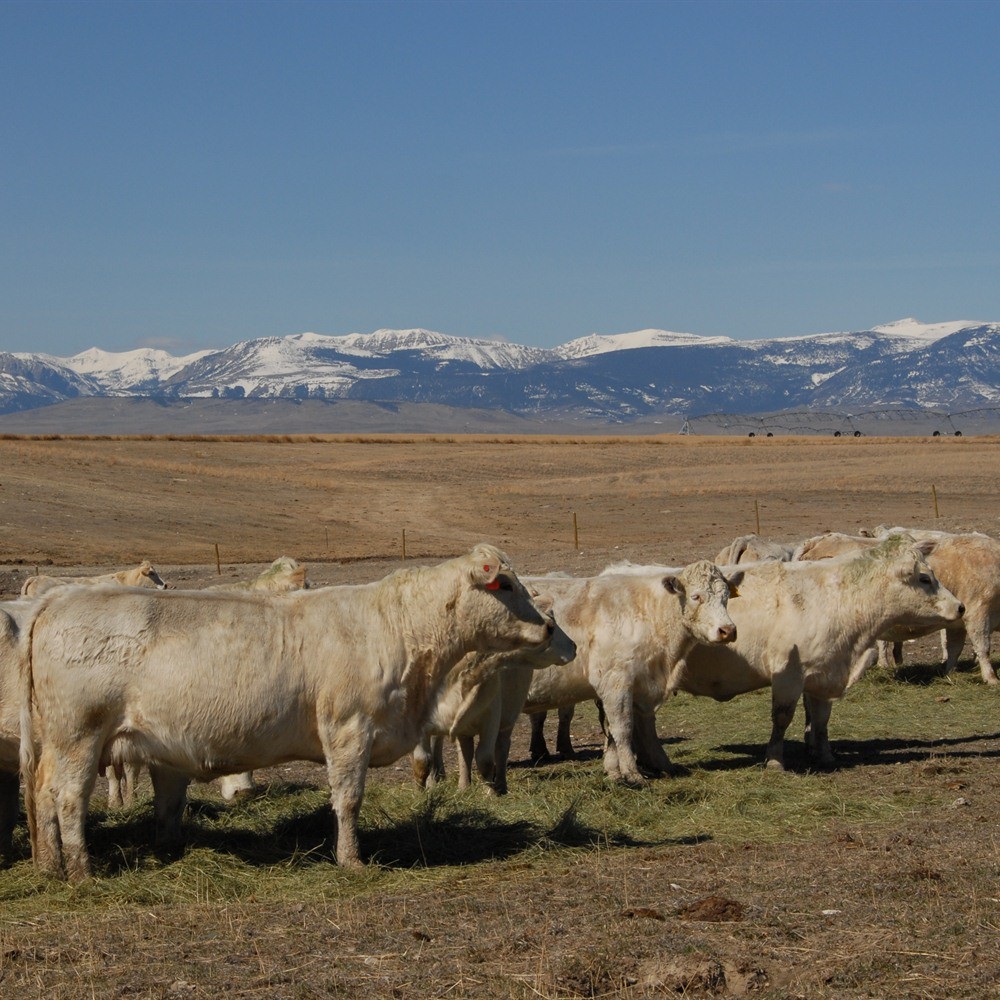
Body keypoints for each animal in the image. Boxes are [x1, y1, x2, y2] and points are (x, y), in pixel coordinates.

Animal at [512, 560, 737, 786]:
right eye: (696, 596)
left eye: (726, 596)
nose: (728, 630)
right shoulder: (615, 682)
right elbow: (623, 727)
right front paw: (632, 772)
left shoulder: (639, 686)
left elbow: (629, 730)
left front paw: (624, 770)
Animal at [670, 537, 964, 770]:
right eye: (924, 578)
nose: (959, 607)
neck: (835, 599)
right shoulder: (788, 675)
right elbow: (782, 717)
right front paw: (775, 760)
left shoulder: (823, 673)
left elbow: (821, 719)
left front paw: (824, 755)